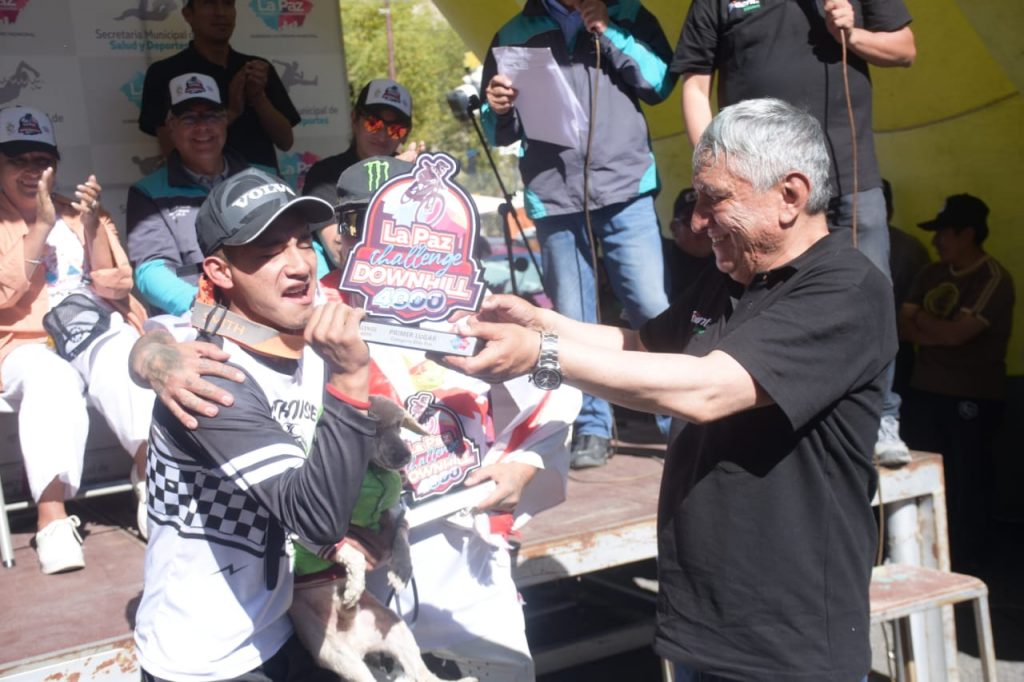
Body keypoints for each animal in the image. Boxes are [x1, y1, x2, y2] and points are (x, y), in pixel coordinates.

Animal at [289, 396, 477, 682]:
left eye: (399, 424)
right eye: (370, 430)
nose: (406, 455)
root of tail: (359, 641)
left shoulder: (396, 516)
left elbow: (401, 539)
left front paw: (401, 571)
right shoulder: (305, 530)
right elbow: (351, 552)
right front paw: (354, 587)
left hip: (398, 630)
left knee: (423, 675)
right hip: (343, 661)